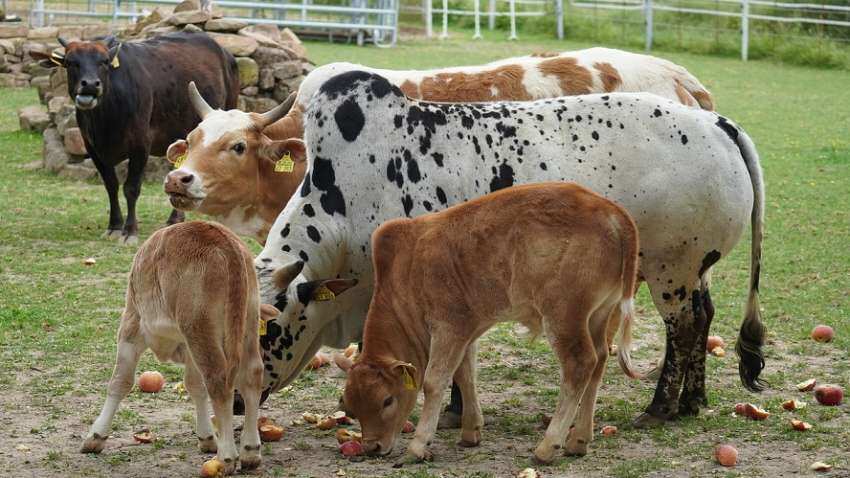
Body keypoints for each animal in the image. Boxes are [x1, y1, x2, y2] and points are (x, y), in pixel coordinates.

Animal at [78, 221, 274, 474]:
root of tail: (223, 240)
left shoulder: (131, 325)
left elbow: (120, 381)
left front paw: (96, 436)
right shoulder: (188, 347)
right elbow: (195, 386)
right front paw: (207, 437)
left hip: (199, 328)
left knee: (218, 381)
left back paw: (227, 456)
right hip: (246, 321)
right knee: (251, 374)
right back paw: (250, 451)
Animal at [255, 70, 764, 426]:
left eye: (269, 330)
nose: (242, 400)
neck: (344, 200)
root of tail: (717, 123)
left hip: (670, 268)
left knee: (684, 326)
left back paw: (660, 408)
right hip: (693, 270)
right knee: (704, 315)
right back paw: (693, 400)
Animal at [342, 182, 640, 464]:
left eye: (387, 400)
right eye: (352, 408)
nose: (372, 447)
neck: (406, 270)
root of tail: (610, 210)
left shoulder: (447, 327)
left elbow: (434, 381)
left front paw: (417, 446)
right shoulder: (466, 332)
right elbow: (465, 375)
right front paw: (470, 431)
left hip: (563, 316)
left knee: (581, 364)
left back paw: (547, 446)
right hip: (598, 314)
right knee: (599, 359)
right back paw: (578, 440)